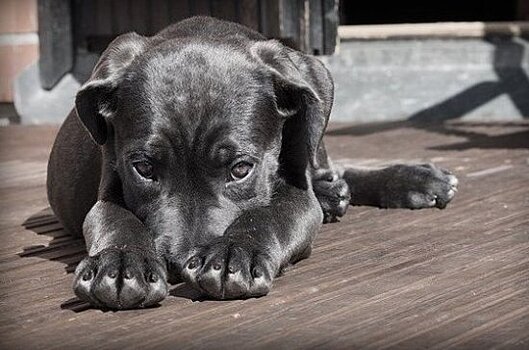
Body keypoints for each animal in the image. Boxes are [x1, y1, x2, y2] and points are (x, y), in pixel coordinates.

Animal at [46, 15, 458, 308]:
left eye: (241, 169)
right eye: (143, 169)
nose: (179, 264)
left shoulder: (297, 195)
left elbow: (269, 214)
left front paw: (234, 253)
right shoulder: (108, 188)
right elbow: (115, 219)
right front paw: (120, 263)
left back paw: (410, 180)